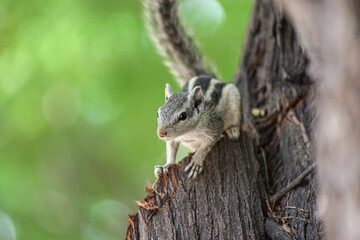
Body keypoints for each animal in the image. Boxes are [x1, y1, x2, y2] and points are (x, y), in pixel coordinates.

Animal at [142, 0, 240, 178]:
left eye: (183, 116)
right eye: (159, 113)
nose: (161, 133)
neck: (188, 134)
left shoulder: (214, 127)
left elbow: (207, 145)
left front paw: (197, 161)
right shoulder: (173, 139)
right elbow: (171, 150)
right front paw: (166, 165)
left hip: (233, 96)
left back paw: (234, 129)